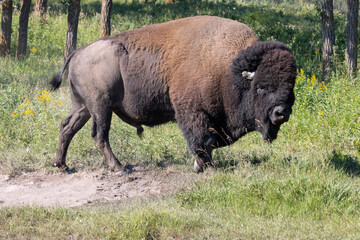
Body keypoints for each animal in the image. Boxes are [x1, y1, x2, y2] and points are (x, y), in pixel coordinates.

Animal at [51, 15, 298, 174]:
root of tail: (79, 51)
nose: (281, 113)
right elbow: (202, 140)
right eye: (261, 87)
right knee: (99, 134)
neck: (228, 70)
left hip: (83, 107)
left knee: (67, 127)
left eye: (291, 88)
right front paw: (205, 167)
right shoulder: (193, 113)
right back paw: (119, 168)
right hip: (101, 107)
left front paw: (201, 165)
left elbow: (208, 142)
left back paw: (62, 165)